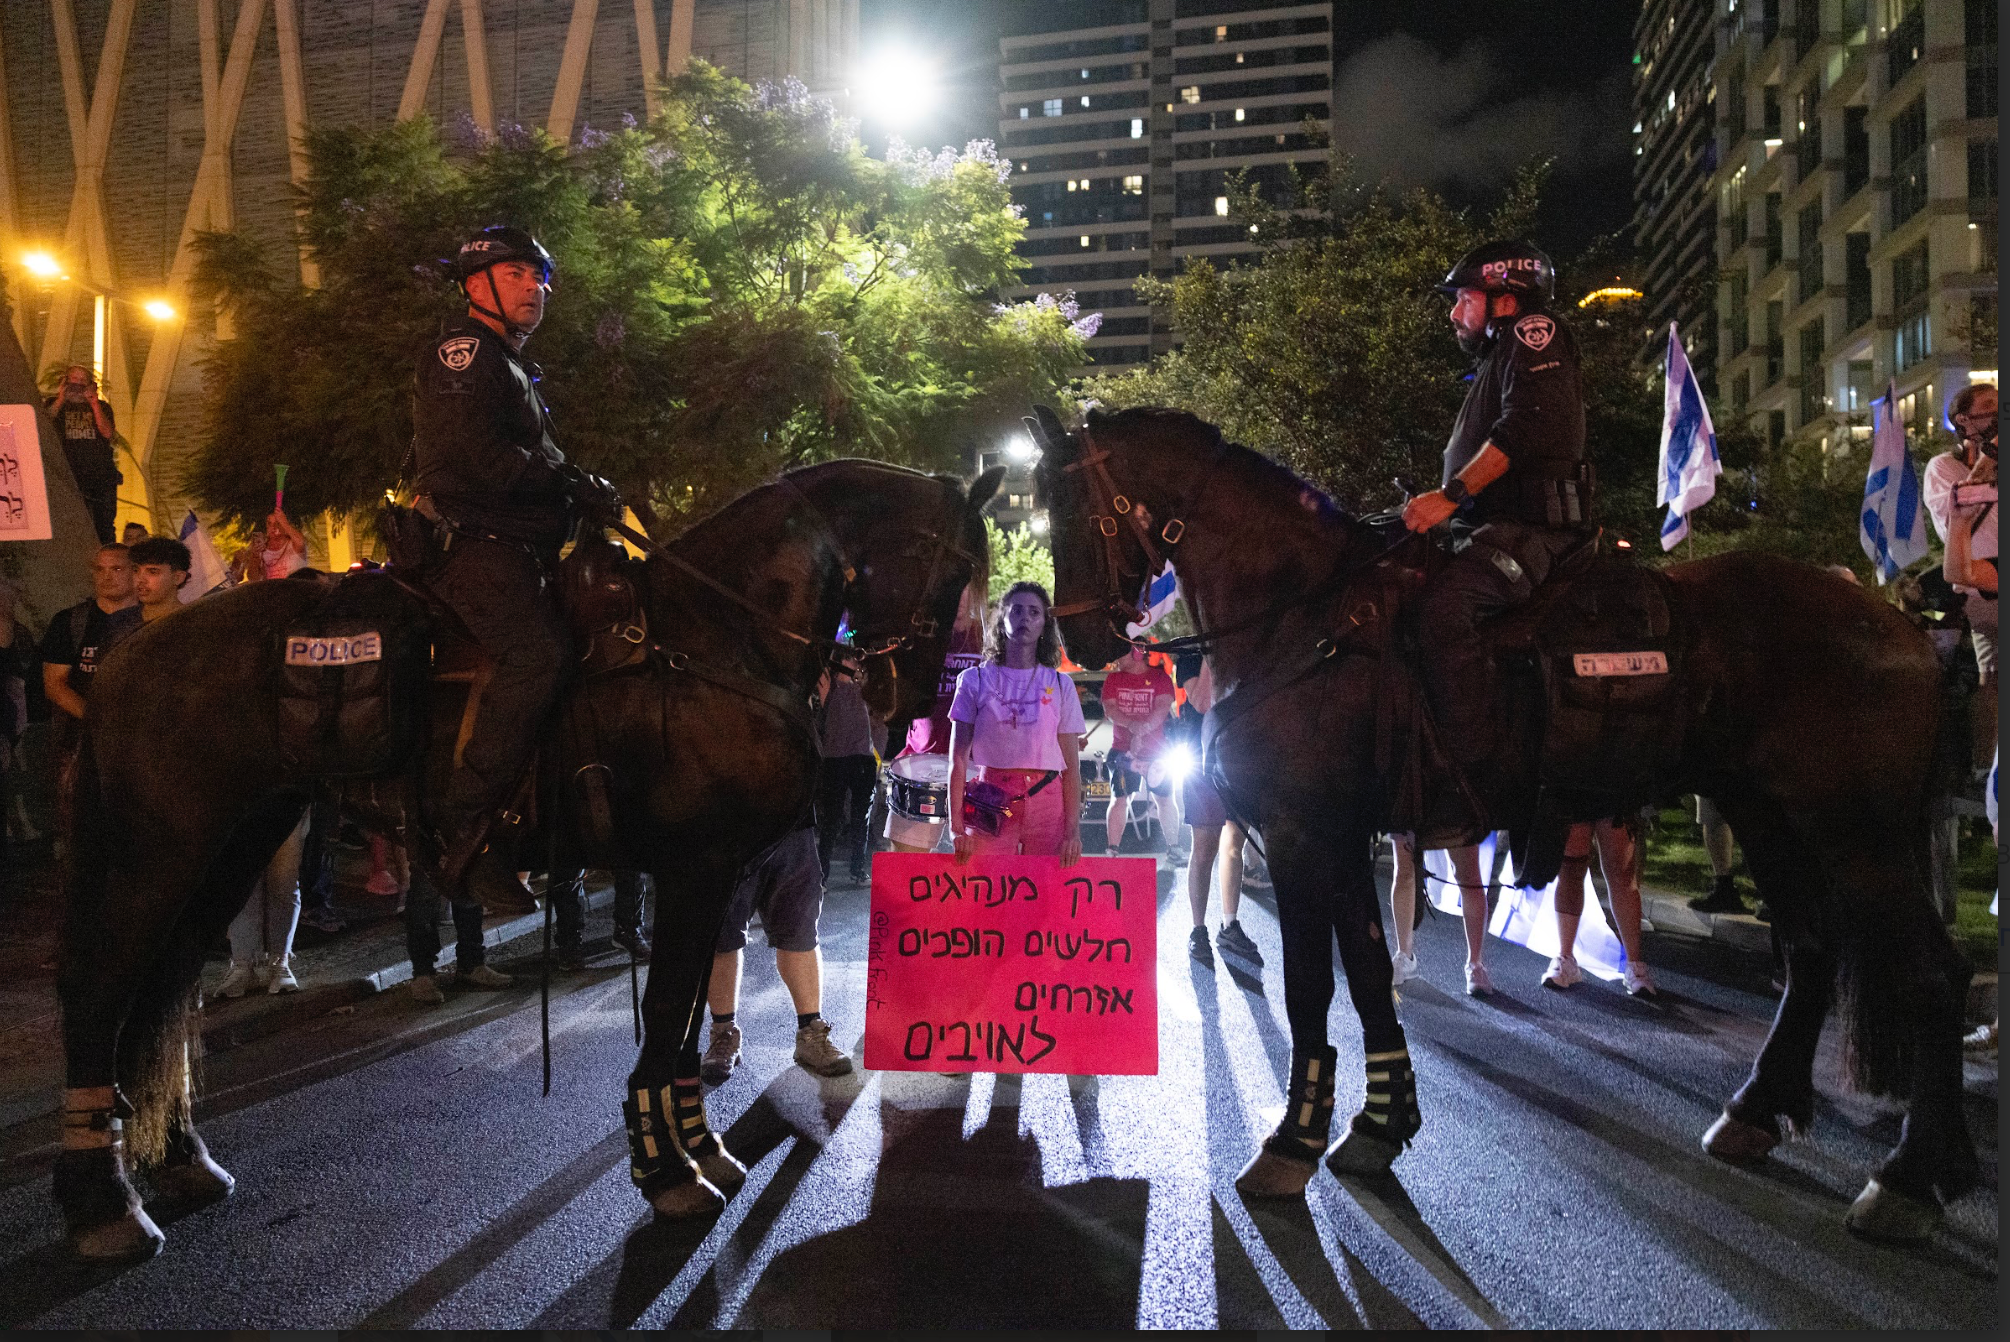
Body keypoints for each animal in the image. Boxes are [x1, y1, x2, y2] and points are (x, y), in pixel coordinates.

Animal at [53, 459, 998, 1261]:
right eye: (952, 573)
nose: (917, 703)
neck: (718, 635)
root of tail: (125, 657)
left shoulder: (714, 872)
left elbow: (692, 1009)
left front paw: (696, 1145)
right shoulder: (693, 868)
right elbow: (668, 1010)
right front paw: (669, 1170)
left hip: (233, 844)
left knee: (165, 987)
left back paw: (178, 1162)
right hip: (159, 853)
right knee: (101, 991)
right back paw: (105, 1203)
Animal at [1030, 404, 1975, 1243]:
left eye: (1070, 506)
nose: (1081, 641)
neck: (1304, 615)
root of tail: (1898, 624)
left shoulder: (1305, 832)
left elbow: (1311, 989)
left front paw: (1292, 1142)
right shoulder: (1342, 838)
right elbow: (1368, 976)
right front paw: (1378, 1125)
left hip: (1855, 834)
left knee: (1932, 972)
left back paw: (1909, 1178)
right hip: (1770, 816)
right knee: (1812, 952)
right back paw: (1757, 1112)